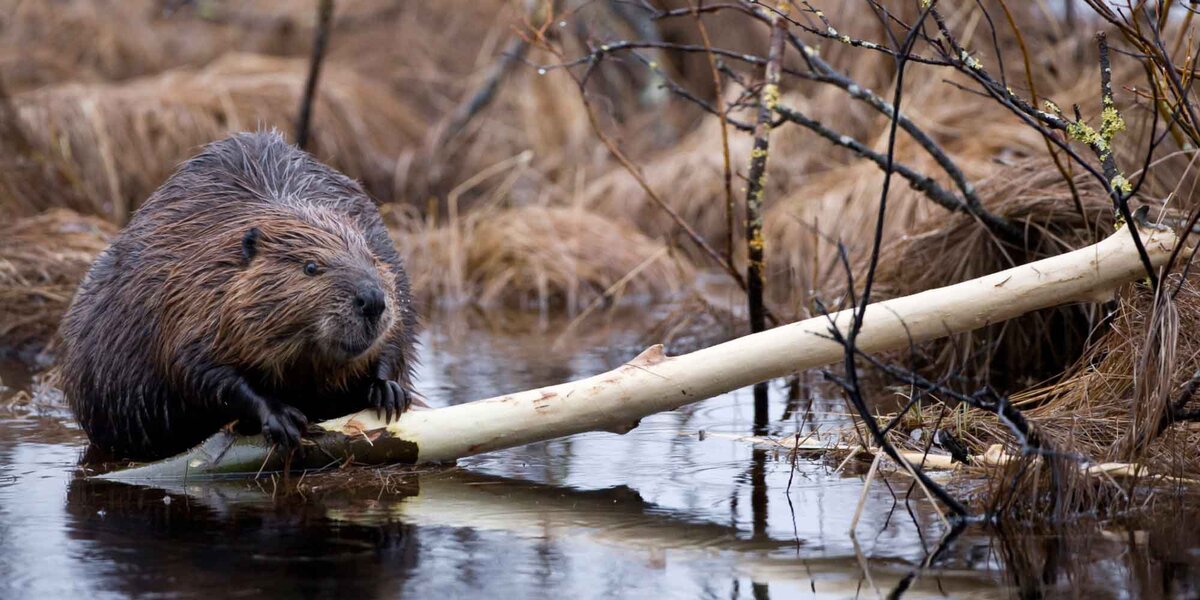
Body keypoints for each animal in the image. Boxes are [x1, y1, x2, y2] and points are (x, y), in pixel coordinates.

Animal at [58, 131, 420, 458]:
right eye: (311, 266)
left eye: (372, 258)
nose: (372, 300)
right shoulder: (189, 296)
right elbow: (197, 368)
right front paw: (282, 417)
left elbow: (397, 336)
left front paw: (387, 390)